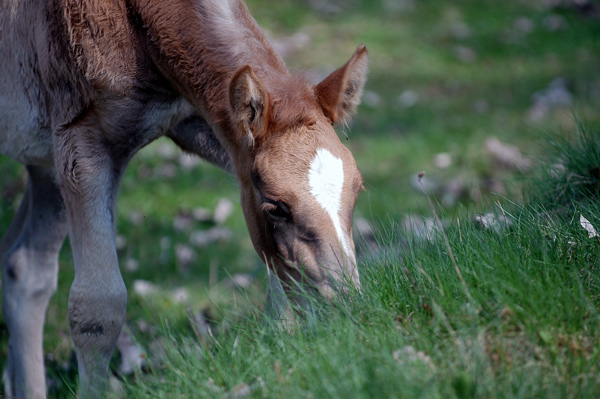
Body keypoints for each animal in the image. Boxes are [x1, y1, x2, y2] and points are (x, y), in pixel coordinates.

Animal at [0, 0, 368, 398]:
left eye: (357, 190)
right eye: (276, 207)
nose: (343, 309)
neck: (138, 27)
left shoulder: (205, 123)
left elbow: (277, 277)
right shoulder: (82, 140)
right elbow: (96, 309)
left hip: (44, 163)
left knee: (24, 265)